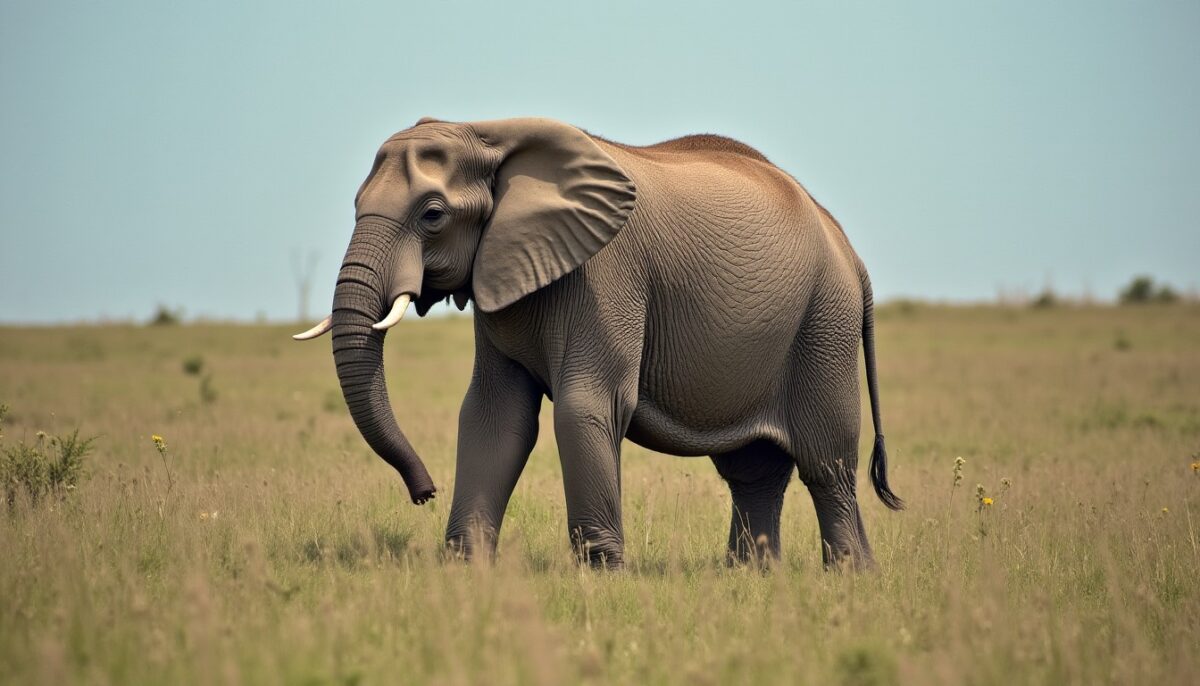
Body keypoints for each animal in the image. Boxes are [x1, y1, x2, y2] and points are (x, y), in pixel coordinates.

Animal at [294, 116, 903, 569]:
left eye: (433, 215)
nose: (425, 492)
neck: (491, 135)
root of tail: (850, 250)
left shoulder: (605, 276)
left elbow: (586, 406)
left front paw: (602, 572)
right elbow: (493, 415)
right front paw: (466, 566)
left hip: (824, 321)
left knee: (826, 463)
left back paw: (849, 577)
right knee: (753, 470)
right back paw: (749, 576)